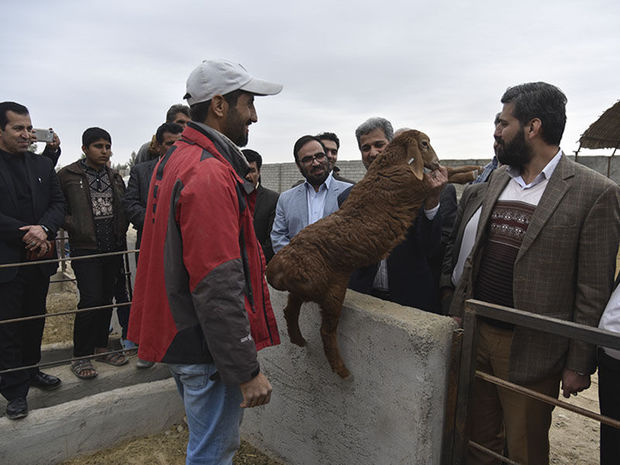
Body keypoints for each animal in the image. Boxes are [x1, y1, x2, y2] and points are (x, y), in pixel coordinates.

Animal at [266, 130, 480, 376]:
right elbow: (444, 174)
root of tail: (276, 269)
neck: (390, 165)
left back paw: (299, 340)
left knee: (289, 311)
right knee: (325, 330)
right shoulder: (417, 186)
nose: (435, 161)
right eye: (424, 144)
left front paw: (475, 169)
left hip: (304, 290)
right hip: (330, 289)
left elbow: (448, 171)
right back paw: (342, 371)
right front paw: (470, 173)